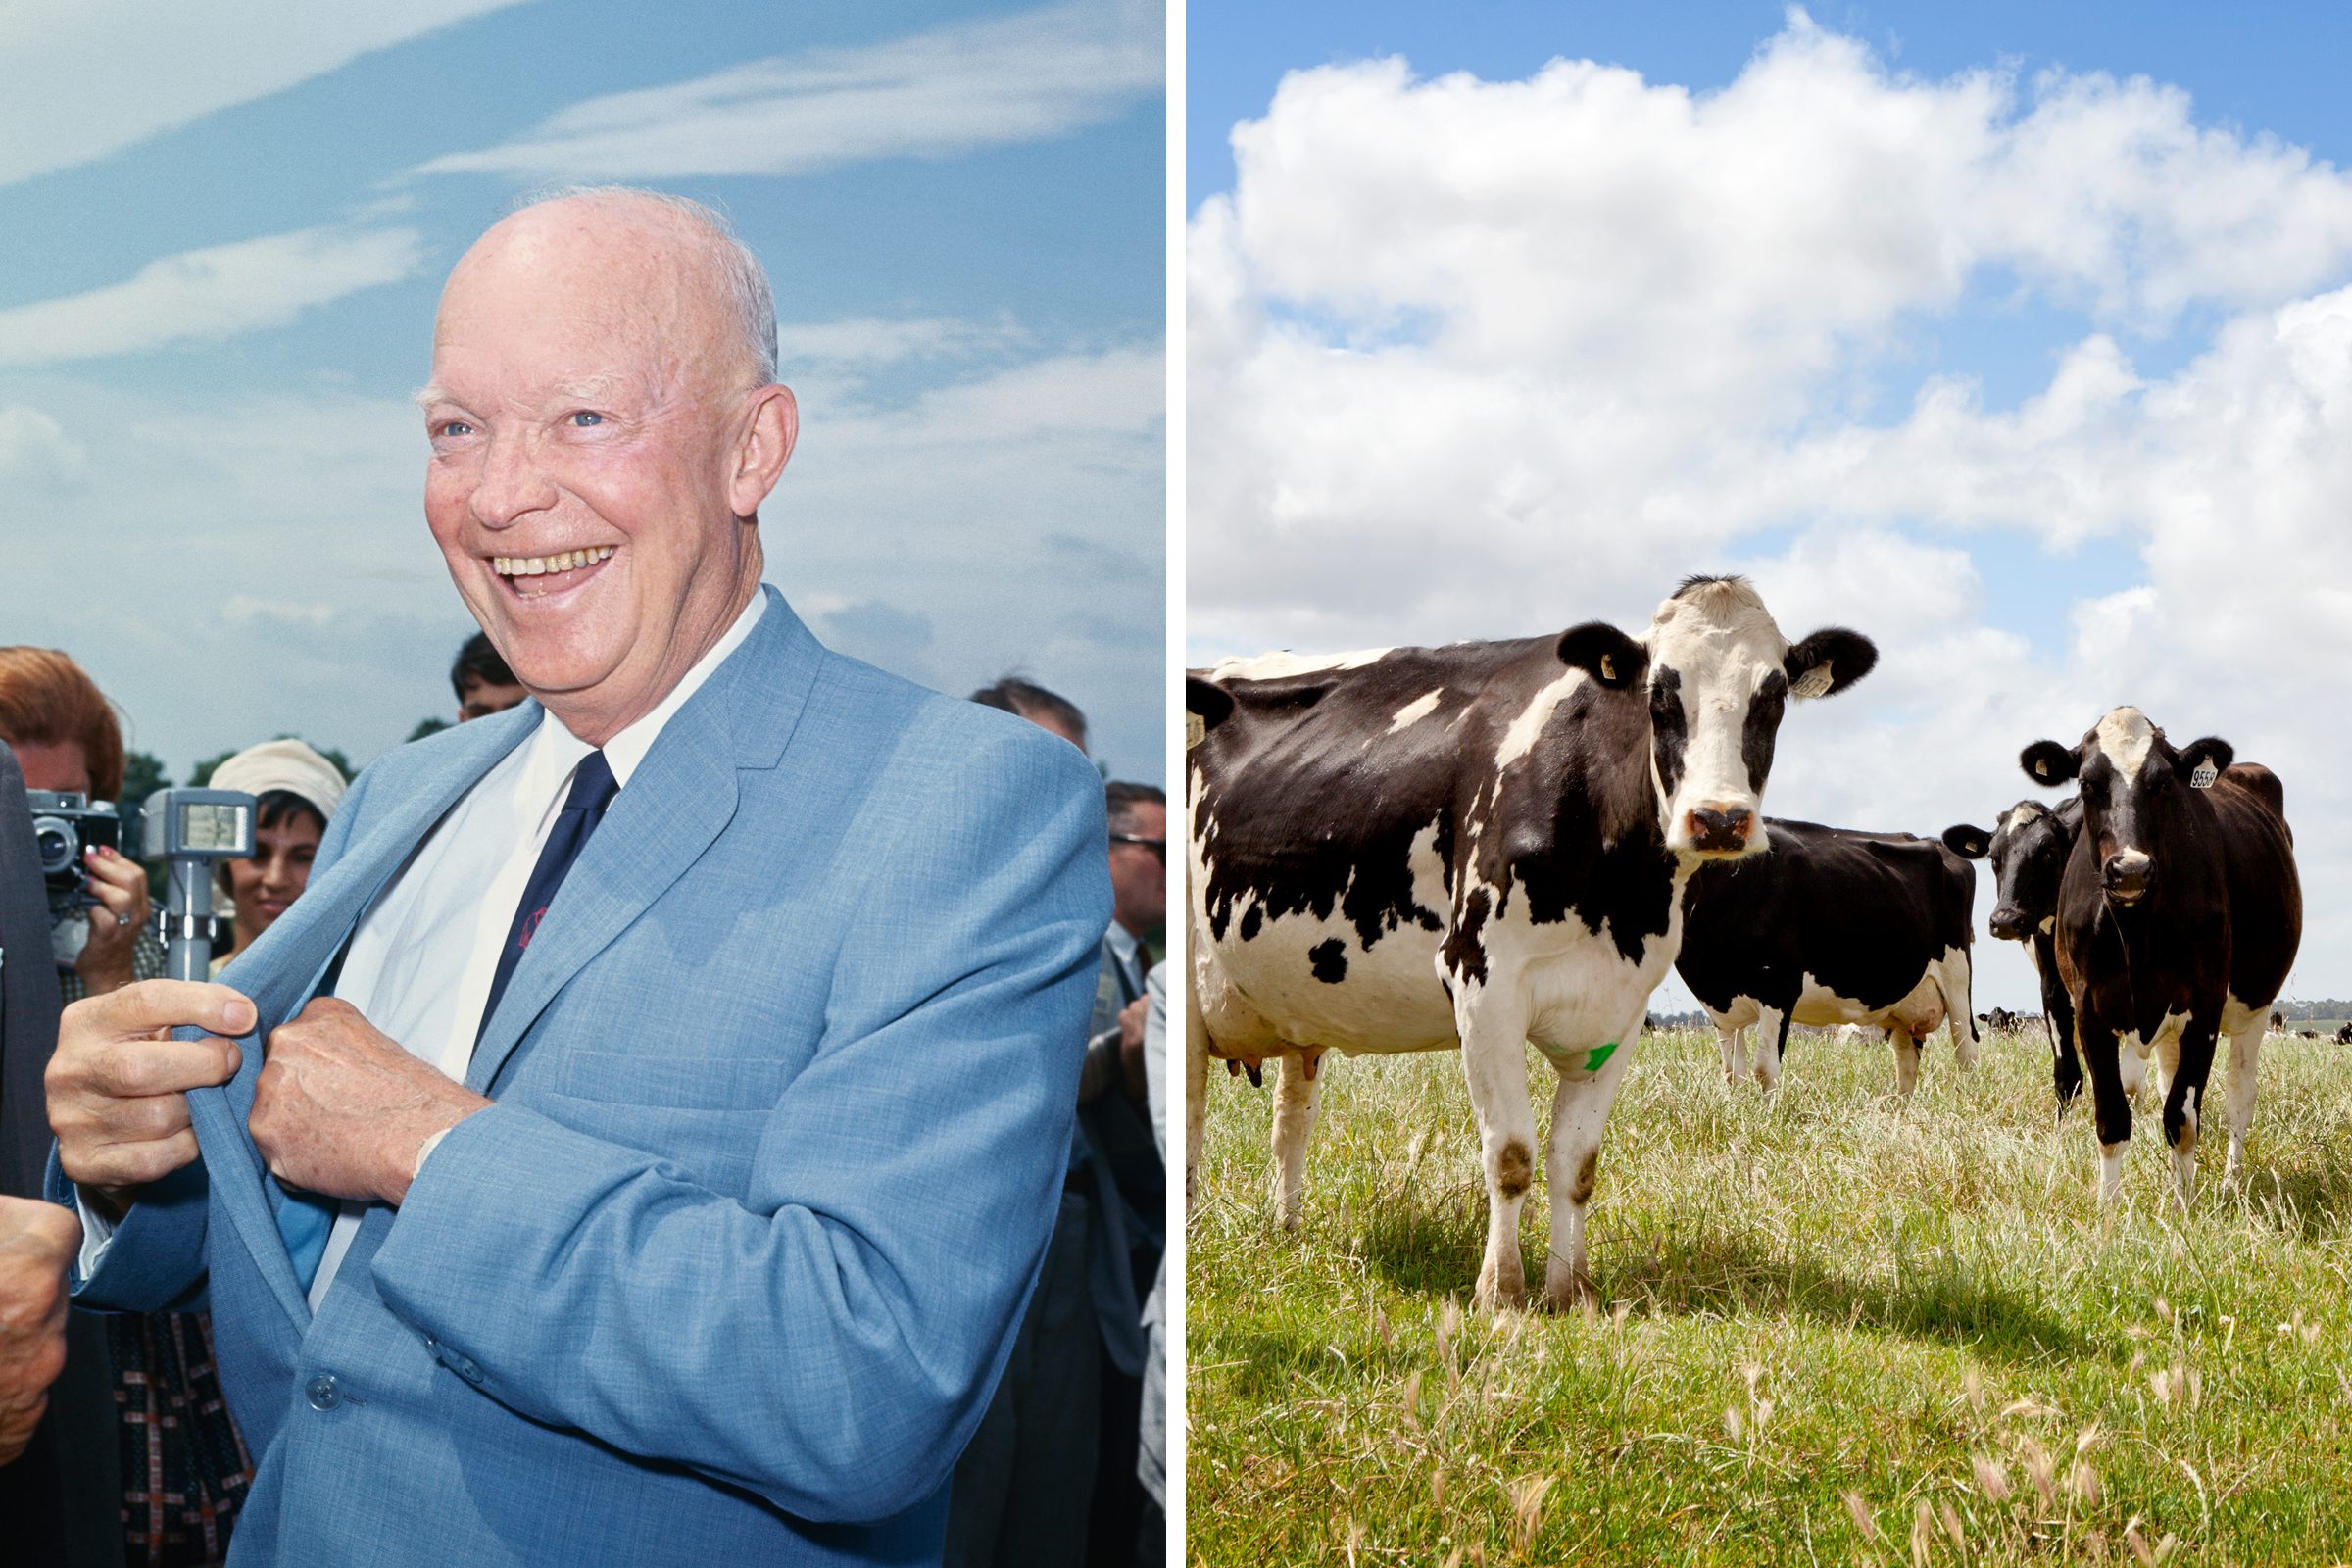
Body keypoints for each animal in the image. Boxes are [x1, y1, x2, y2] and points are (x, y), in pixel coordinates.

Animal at [1185, 575, 1876, 1309]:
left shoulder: (1622, 1004)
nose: (1718, 819)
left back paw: (1286, 1230)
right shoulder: (1481, 981)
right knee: (1192, 1114)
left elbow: (1577, 1163)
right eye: (1660, 694)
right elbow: (1511, 1153)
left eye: (1770, 697)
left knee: (1291, 1116)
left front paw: (1570, 1290)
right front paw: (1501, 1292)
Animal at [1674, 819, 1977, 1096]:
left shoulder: (1779, 986)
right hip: (1904, 1000)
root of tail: (1935, 843)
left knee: (1967, 1048)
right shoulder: (1721, 1003)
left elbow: (1764, 1070)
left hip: (1957, 978)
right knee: (1906, 1058)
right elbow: (1732, 1075)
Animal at [2018, 708, 2300, 1205]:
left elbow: (2182, 1119)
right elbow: (2113, 1118)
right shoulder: (2088, 1010)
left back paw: (2230, 1181)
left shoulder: (2205, 1007)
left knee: (2238, 1097)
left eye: (2164, 782)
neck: (2136, 931)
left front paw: (2184, 1209)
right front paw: (2108, 1214)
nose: (2130, 868)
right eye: (2087, 783)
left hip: (2256, 1006)